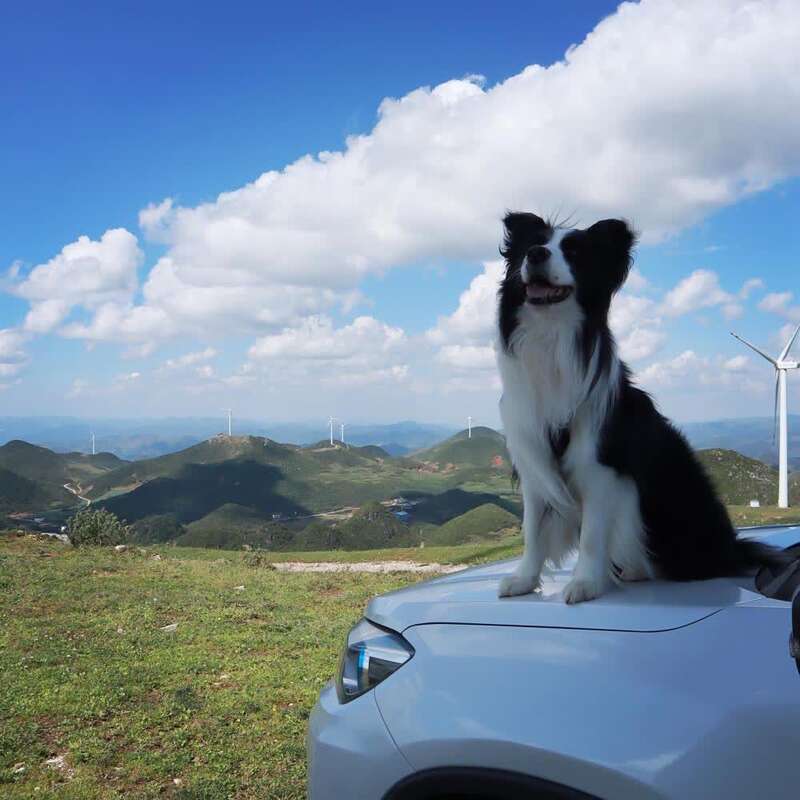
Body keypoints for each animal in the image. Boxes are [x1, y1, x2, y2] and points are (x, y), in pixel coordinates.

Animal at [496, 216, 784, 604]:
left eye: (574, 252)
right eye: (532, 245)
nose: (536, 255)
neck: (551, 338)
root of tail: (731, 547)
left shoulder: (600, 466)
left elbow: (591, 535)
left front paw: (585, 583)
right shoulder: (534, 460)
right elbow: (532, 530)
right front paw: (524, 580)